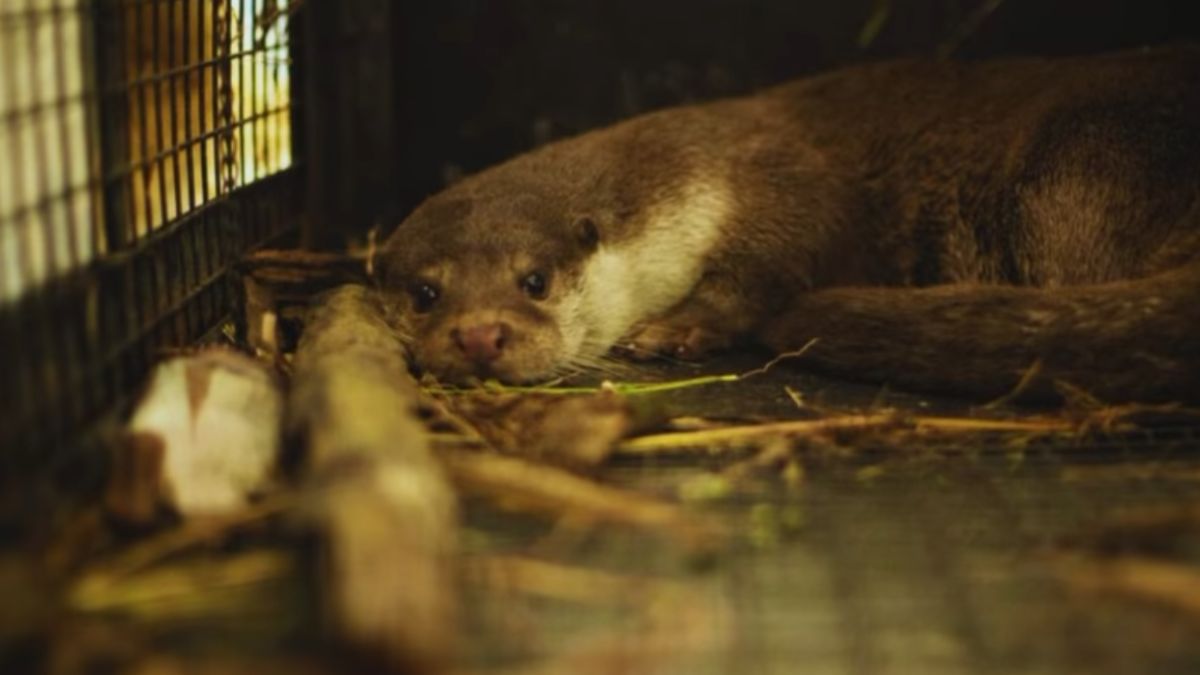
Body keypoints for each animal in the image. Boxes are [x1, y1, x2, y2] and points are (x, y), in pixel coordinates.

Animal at [377, 46, 1200, 403]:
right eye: (425, 293)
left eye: (535, 280)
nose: (479, 335)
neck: (699, 173)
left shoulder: (787, 178)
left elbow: (781, 258)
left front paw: (680, 326)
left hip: (1072, 168)